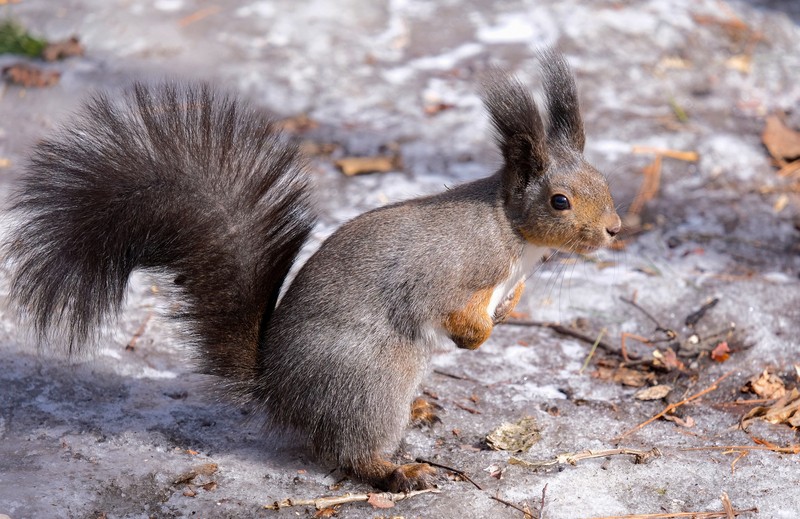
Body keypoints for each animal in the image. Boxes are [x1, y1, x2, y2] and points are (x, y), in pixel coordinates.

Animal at [3, 50, 620, 494]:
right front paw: (478, 335)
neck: (515, 236)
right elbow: (441, 308)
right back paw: (398, 473)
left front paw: (509, 311)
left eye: (603, 179)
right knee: (351, 450)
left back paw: (422, 408)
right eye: (560, 202)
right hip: (369, 382)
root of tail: (278, 392)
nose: (616, 229)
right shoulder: (450, 270)